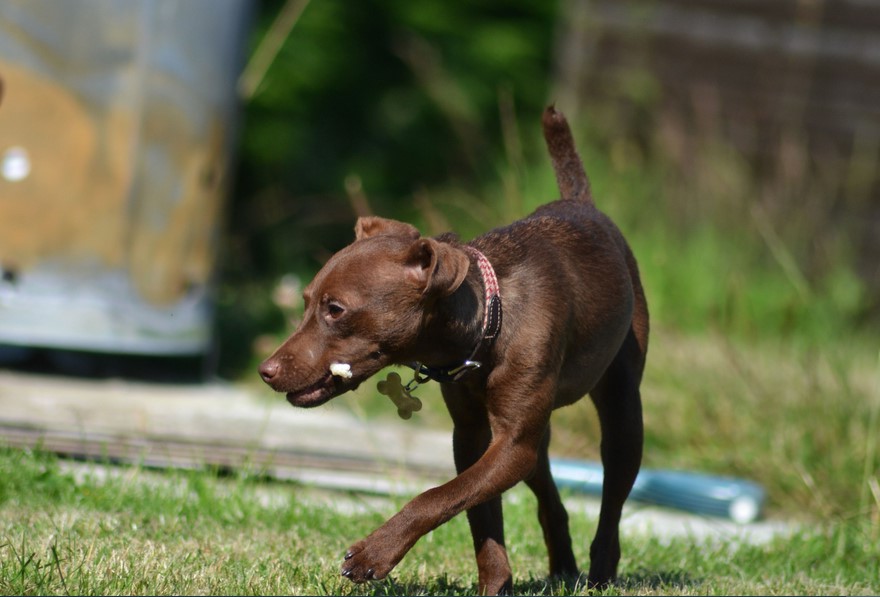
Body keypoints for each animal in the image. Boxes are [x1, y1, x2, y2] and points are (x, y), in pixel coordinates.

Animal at [260, 107, 648, 592]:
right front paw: (495, 584)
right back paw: (563, 567)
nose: (266, 370)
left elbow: (436, 497)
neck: (488, 324)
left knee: (611, 501)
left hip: (622, 412)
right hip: (537, 440)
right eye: (307, 301)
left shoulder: (510, 446)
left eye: (335, 310)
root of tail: (582, 201)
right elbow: (478, 514)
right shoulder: (474, 436)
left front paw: (374, 554)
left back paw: (599, 574)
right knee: (548, 496)